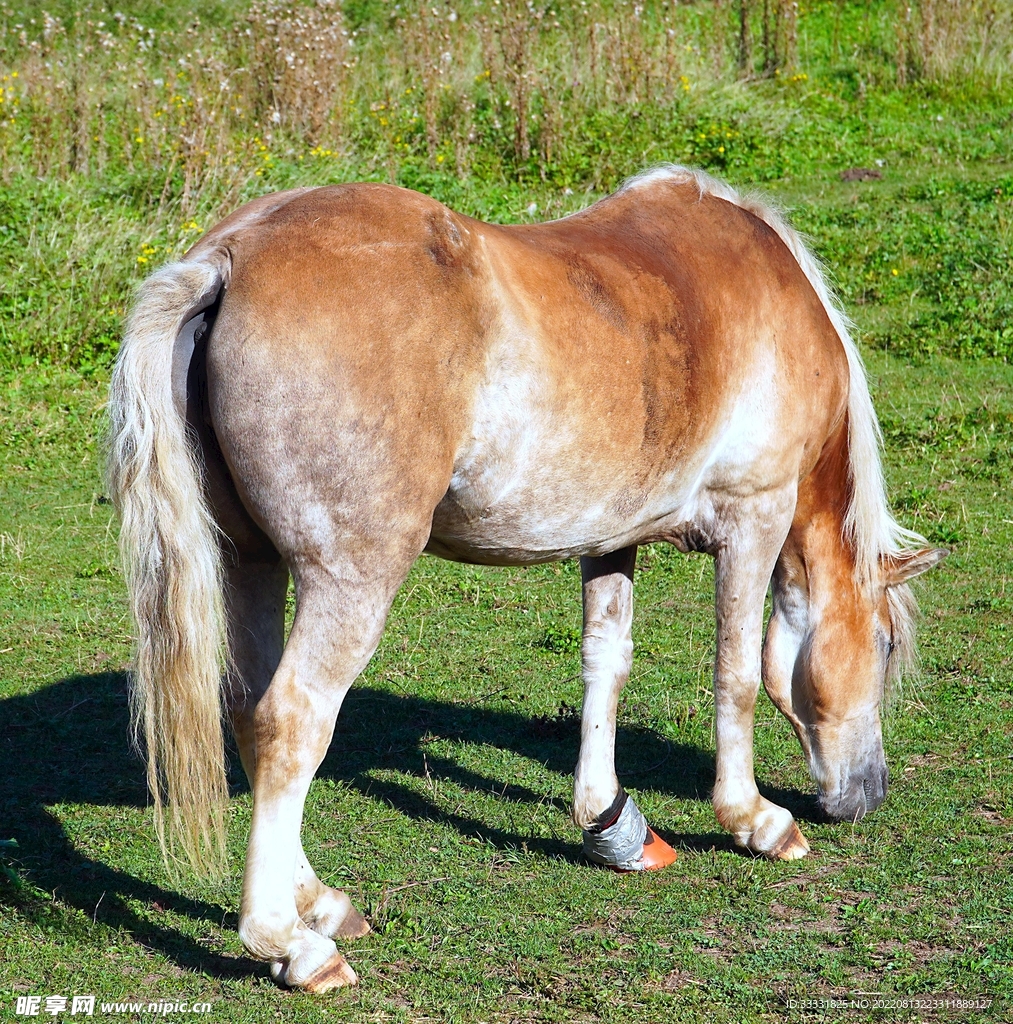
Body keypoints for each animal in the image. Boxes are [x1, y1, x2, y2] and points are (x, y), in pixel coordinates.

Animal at [107, 165, 945, 991]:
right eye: (883, 647)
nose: (868, 794)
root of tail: (230, 258)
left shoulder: (610, 539)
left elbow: (606, 665)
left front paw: (609, 819)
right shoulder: (754, 519)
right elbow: (736, 676)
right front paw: (753, 819)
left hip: (251, 563)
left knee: (248, 711)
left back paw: (320, 902)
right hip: (347, 582)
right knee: (291, 722)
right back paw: (289, 943)